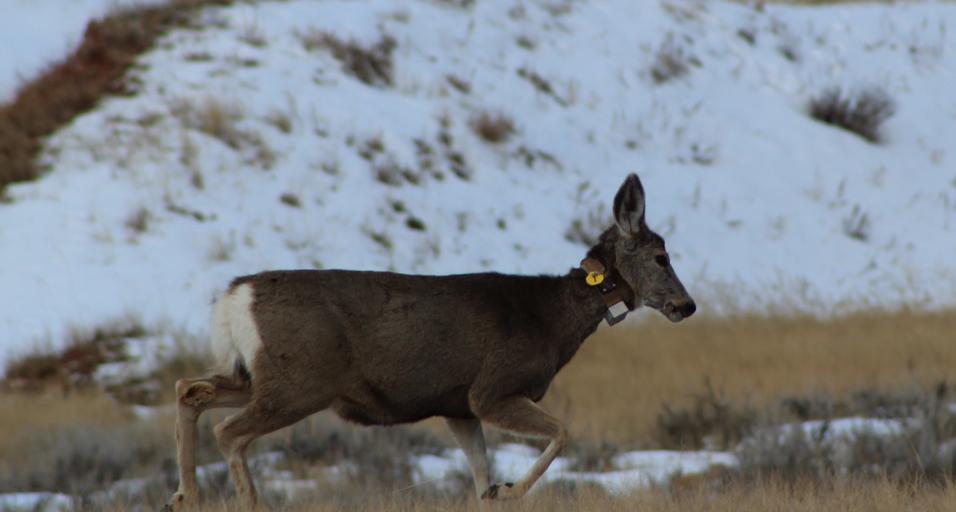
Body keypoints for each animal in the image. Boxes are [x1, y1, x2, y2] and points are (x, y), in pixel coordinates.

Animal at [164, 173, 696, 511]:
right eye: (661, 256)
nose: (686, 306)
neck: (549, 319)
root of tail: (233, 298)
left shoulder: (456, 406)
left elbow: (479, 474)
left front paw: (493, 492)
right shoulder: (491, 389)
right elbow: (562, 433)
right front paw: (509, 490)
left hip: (258, 375)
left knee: (189, 390)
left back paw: (184, 496)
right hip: (300, 380)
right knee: (228, 431)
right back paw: (243, 502)